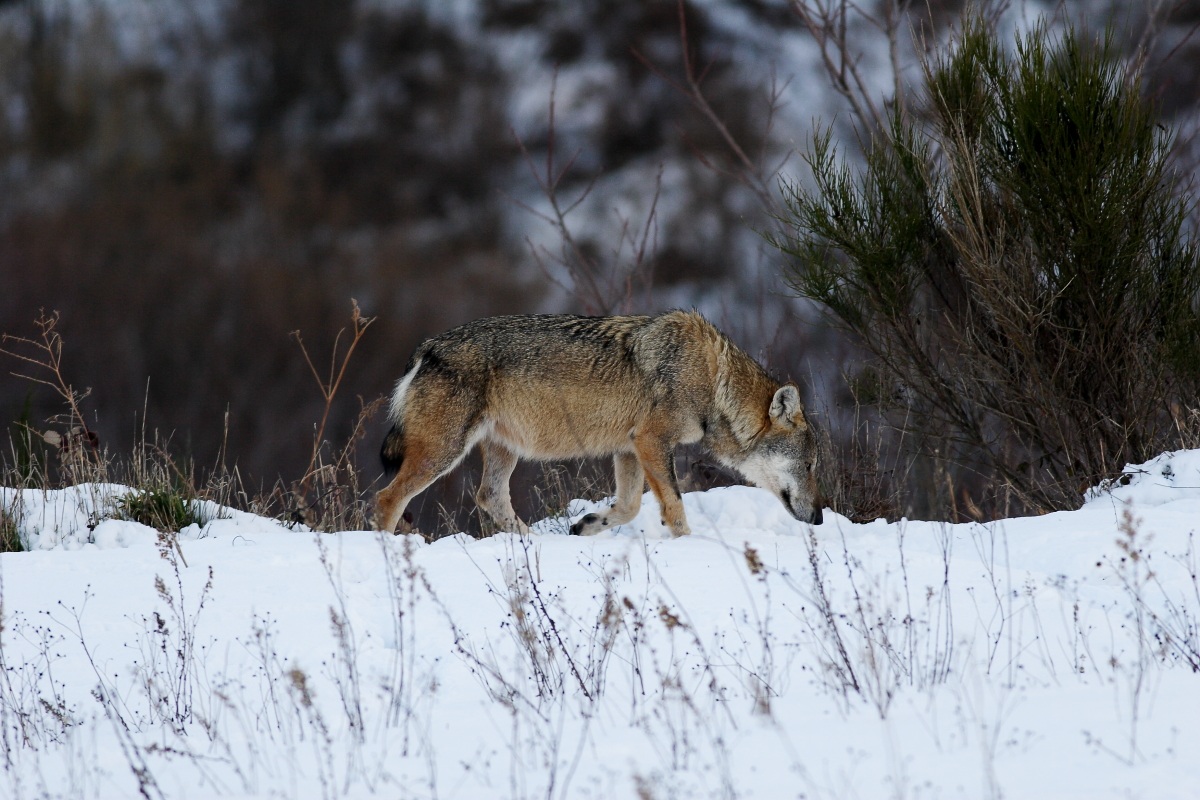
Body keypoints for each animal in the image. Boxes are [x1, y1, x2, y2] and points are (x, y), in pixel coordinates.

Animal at [374, 311, 823, 537]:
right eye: (810, 465)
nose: (820, 518)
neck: (715, 379)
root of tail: (427, 347)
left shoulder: (629, 449)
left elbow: (629, 506)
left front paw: (588, 525)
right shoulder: (651, 441)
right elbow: (674, 506)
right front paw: (687, 548)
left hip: (502, 451)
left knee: (490, 497)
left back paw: (532, 542)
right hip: (443, 454)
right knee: (387, 498)